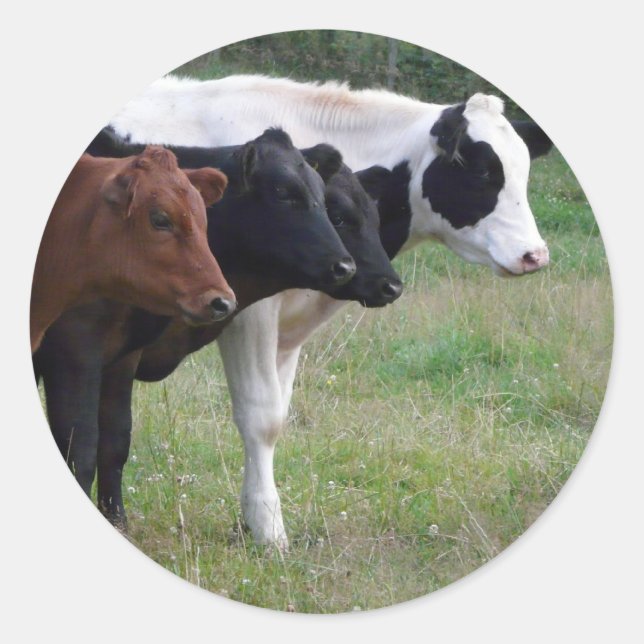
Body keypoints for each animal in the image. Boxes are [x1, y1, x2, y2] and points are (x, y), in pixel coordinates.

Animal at [109, 75, 554, 547]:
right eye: (483, 171)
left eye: (524, 172)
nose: (535, 255)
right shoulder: (247, 313)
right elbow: (261, 415)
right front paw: (270, 533)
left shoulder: (289, 330)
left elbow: (279, 413)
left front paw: (254, 520)